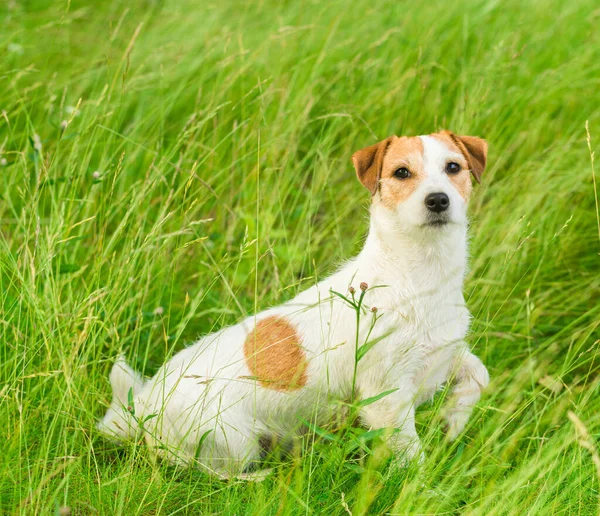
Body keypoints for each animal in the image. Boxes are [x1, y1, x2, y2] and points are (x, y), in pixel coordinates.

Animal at [98, 129, 490, 480]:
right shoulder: (386, 398)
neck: (419, 273)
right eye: (402, 173)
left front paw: (454, 419)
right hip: (233, 441)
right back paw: (256, 477)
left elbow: (478, 375)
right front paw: (422, 486)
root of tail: (144, 403)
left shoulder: (447, 350)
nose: (438, 200)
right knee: (203, 468)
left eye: (453, 167)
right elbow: (410, 452)